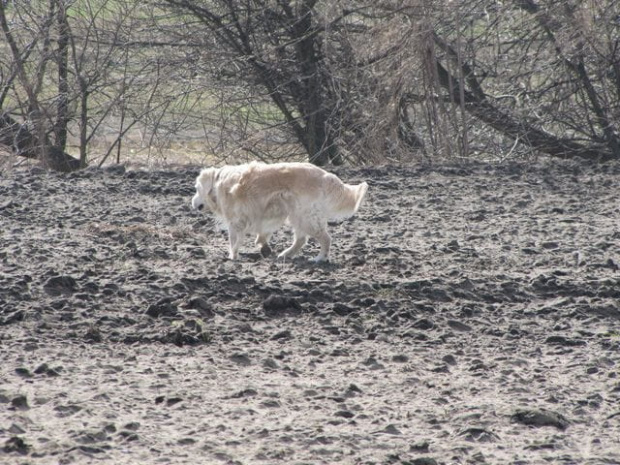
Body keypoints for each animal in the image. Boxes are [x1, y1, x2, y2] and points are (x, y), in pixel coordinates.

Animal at [191, 161, 368, 260]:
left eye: (196, 189)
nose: (193, 203)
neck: (217, 184)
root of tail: (325, 176)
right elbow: (262, 233)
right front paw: (263, 245)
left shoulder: (236, 220)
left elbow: (233, 240)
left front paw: (232, 256)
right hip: (297, 214)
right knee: (301, 239)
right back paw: (286, 254)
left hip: (306, 216)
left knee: (325, 238)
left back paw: (319, 258)